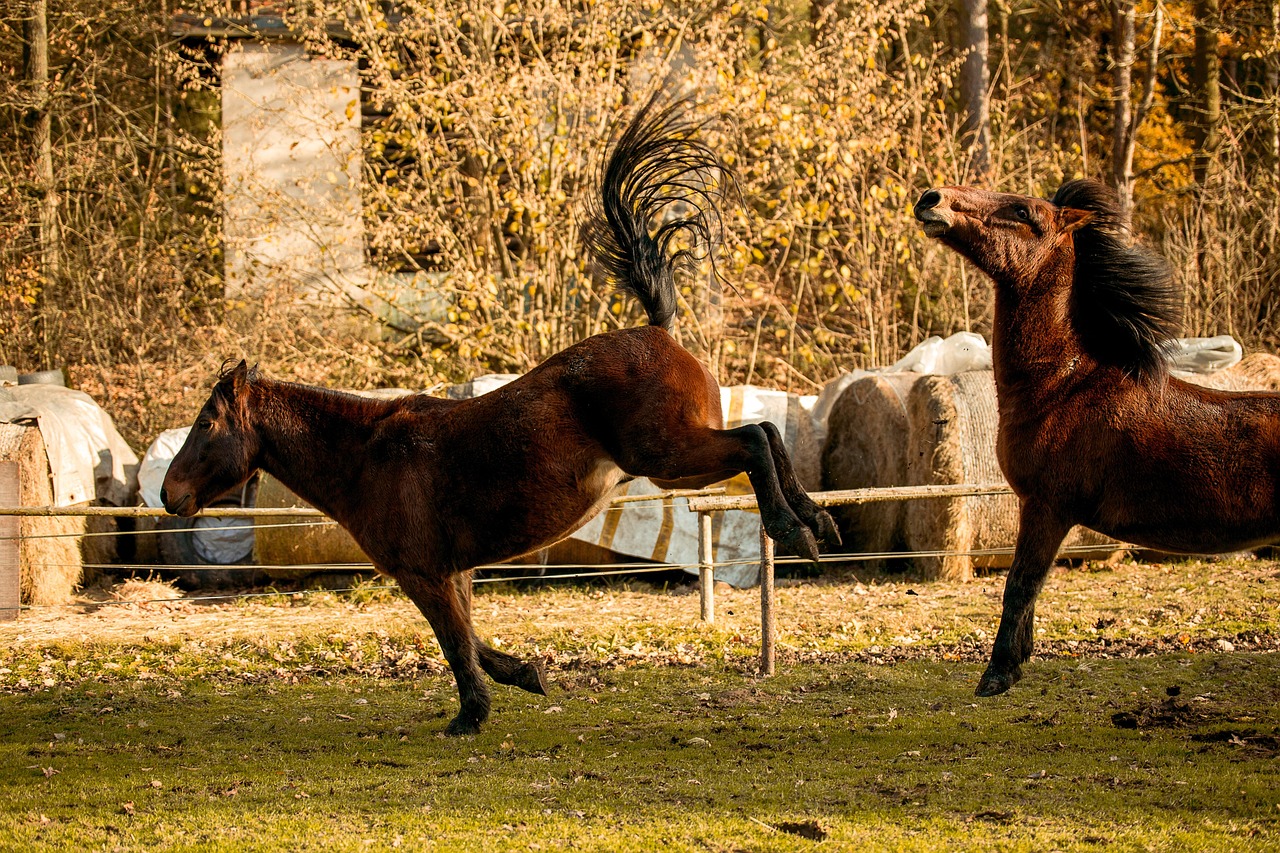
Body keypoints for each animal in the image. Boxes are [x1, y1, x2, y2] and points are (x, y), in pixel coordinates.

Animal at [162, 92, 840, 735]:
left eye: (206, 425)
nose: (170, 496)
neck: (367, 456)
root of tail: (658, 329)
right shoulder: (452, 573)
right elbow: (471, 640)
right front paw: (524, 676)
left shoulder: (423, 574)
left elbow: (456, 644)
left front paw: (471, 715)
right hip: (676, 465)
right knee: (766, 431)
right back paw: (817, 522)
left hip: (666, 455)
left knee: (753, 439)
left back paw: (793, 528)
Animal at [913, 179, 1280, 697]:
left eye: (1023, 212)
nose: (932, 199)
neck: (1063, 387)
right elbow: (1031, 589)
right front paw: (1018, 662)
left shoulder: (1047, 507)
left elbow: (1020, 585)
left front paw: (998, 673)